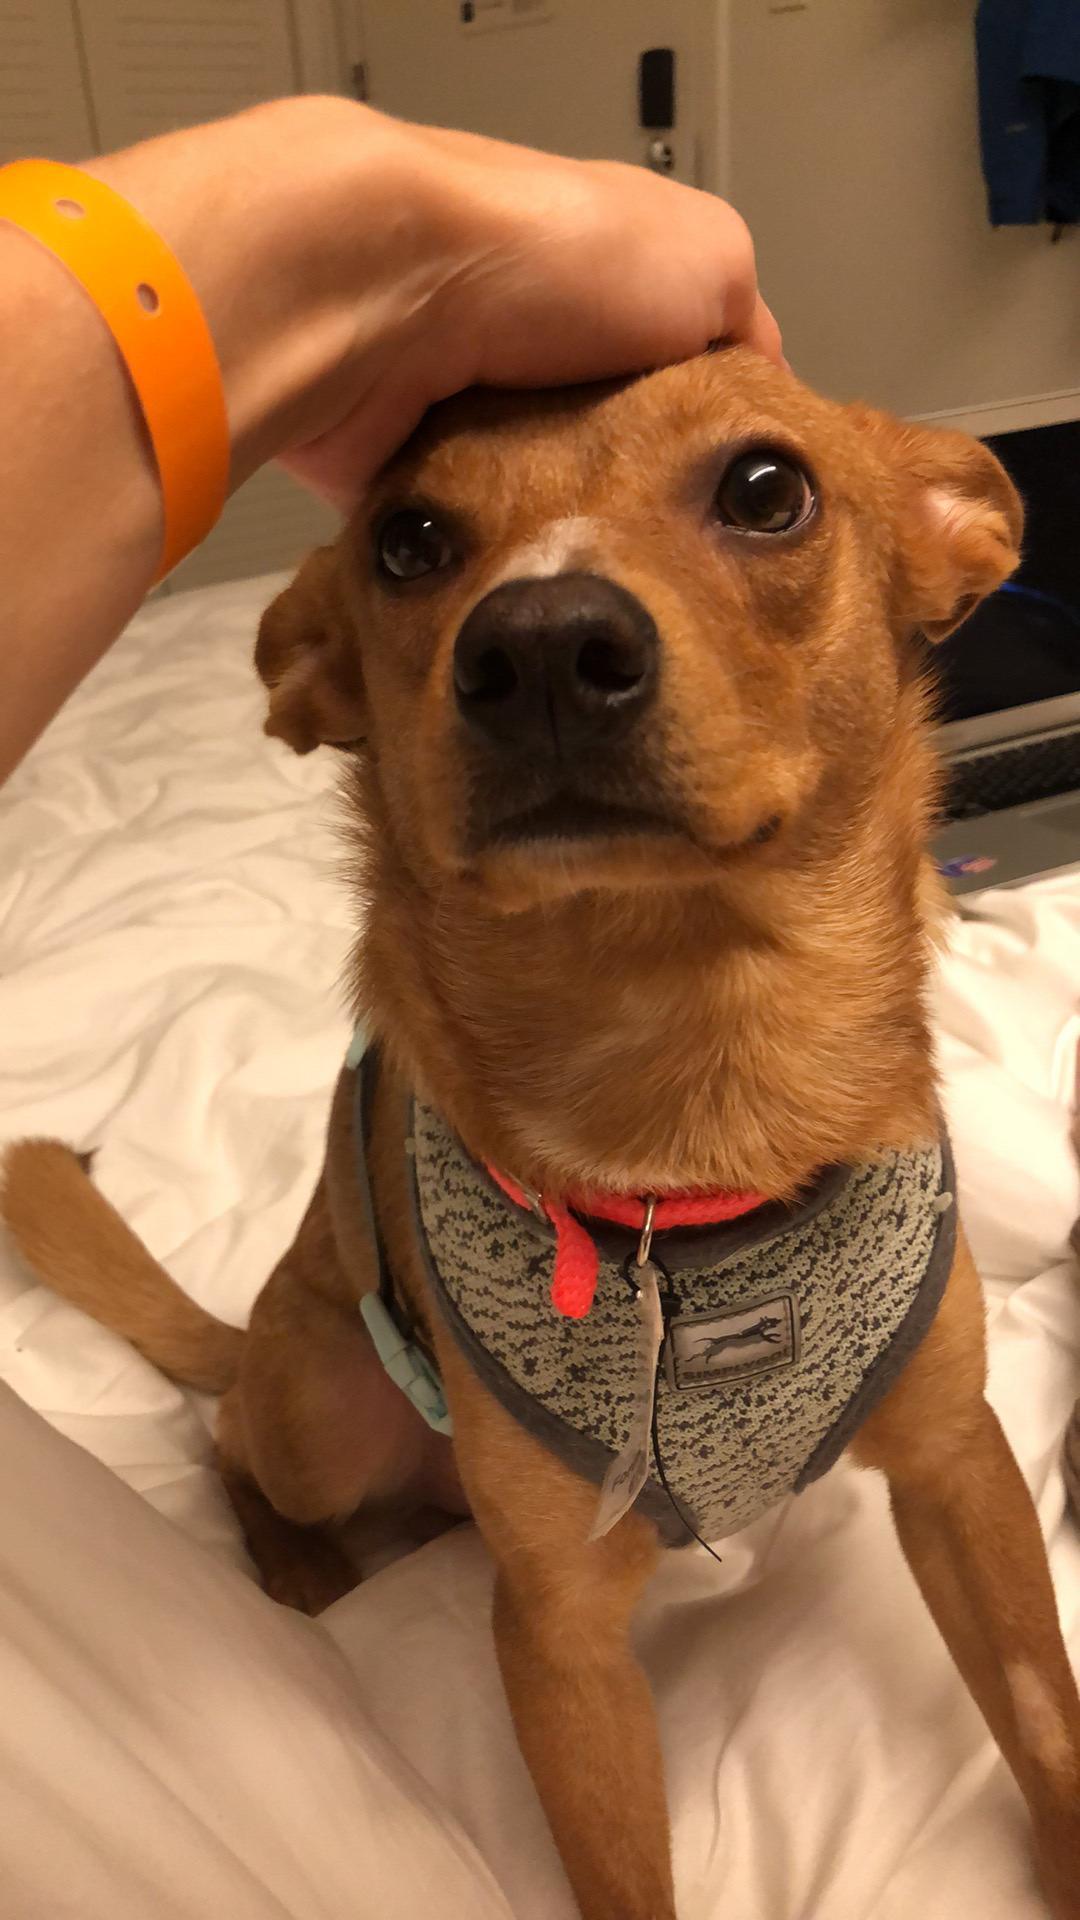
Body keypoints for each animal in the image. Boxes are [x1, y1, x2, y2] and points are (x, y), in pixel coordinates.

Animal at [2, 349, 1076, 1920]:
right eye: (407, 540)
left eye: (768, 488)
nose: (545, 641)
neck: (688, 1066)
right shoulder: (558, 1638)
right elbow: (624, 1879)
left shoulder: (964, 1473)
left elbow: (1047, 1729)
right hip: (320, 1401)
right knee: (235, 1442)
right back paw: (294, 1569)